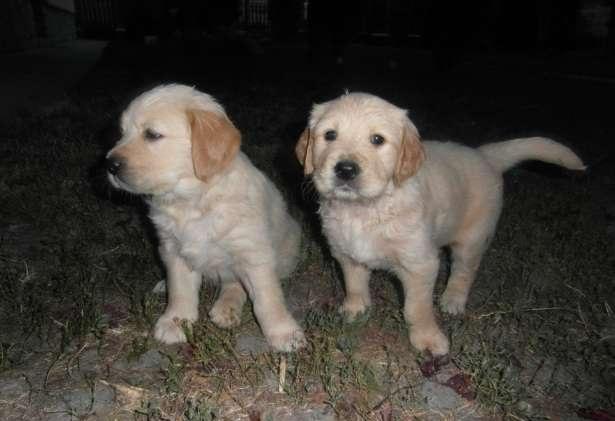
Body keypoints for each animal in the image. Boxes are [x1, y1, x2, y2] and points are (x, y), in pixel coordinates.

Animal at [107, 83, 306, 350]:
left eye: (152, 135)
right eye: (122, 133)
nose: (110, 165)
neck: (192, 201)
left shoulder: (252, 252)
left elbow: (267, 298)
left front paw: (284, 332)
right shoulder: (173, 249)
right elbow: (180, 290)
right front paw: (175, 321)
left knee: (234, 283)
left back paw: (226, 309)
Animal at [296, 92, 584, 354]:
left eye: (377, 140)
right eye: (329, 135)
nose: (345, 169)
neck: (365, 209)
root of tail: (484, 156)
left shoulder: (420, 264)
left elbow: (417, 308)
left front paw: (427, 339)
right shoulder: (346, 252)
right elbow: (354, 285)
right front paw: (355, 310)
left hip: (473, 238)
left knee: (464, 271)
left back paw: (453, 300)